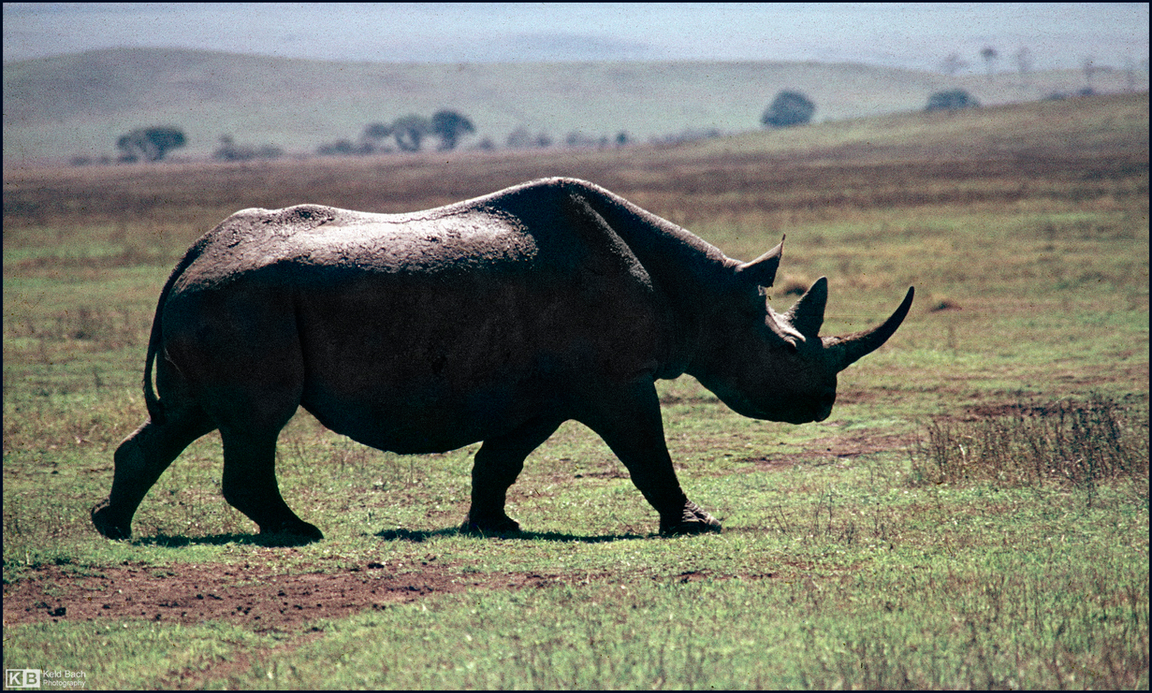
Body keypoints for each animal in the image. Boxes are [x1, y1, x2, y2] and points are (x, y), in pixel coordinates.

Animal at [92, 177, 913, 541]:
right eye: (789, 349)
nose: (822, 405)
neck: (703, 296)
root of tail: (190, 258)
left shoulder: (549, 390)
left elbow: (501, 458)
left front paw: (496, 527)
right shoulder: (614, 381)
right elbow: (648, 450)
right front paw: (698, 523)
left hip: (221, 300)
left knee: (190, 416)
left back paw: (112, 526)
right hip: (239, 302)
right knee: (254, 420)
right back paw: (299, 533)